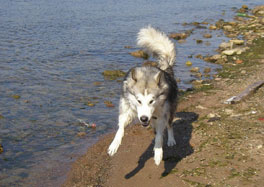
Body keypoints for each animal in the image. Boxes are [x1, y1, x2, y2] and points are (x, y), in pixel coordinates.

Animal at [106, 25, 177, 165]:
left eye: (151, 101)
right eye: (138, 101)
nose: (144, 119)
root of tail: (165, 68)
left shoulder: (161, 115)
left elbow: (160, 136)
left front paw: (158, 152)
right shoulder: (127, 109)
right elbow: (120, 128)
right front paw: (114, 145)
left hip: (170, 110)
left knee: (169, 125)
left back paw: (171, 139)